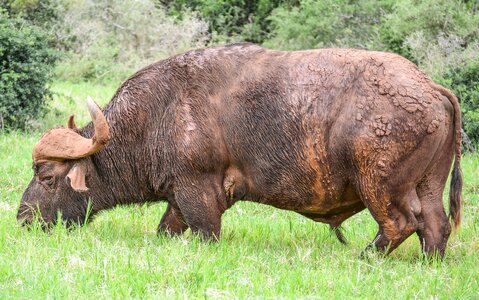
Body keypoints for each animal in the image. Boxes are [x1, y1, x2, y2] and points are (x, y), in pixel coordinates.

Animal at [16, 43, 464, 256]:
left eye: (46, 175)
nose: (23, 219)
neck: (162, 111)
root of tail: (430, 88)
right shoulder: (178, 198)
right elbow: (166, 229)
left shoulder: (199, 194)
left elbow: (205, 233)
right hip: (427, 186)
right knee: (435, 227)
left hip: (380, 187)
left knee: (399, 225)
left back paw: (363, 257)